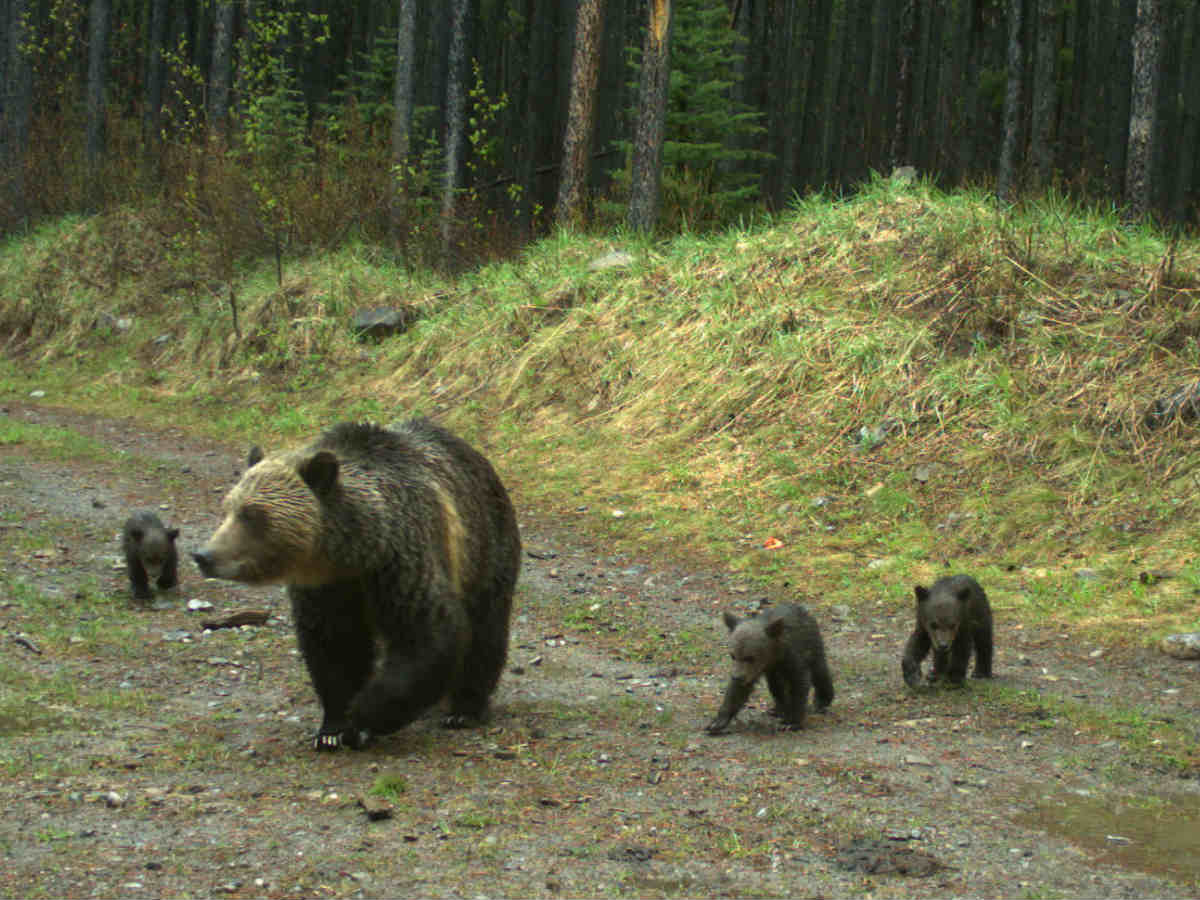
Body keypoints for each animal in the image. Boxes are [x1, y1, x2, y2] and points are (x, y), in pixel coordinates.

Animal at [192, 420, 520, 748]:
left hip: (485, 550)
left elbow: (427, 635)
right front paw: (332, 730)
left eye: (253, 515)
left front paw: (363, 716)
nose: (204, 555)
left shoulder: (401, 561)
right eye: (228, 508)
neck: (352, 552)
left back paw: (465, 709)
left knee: (485, 632)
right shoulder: (328, 587)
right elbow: (336, 648)